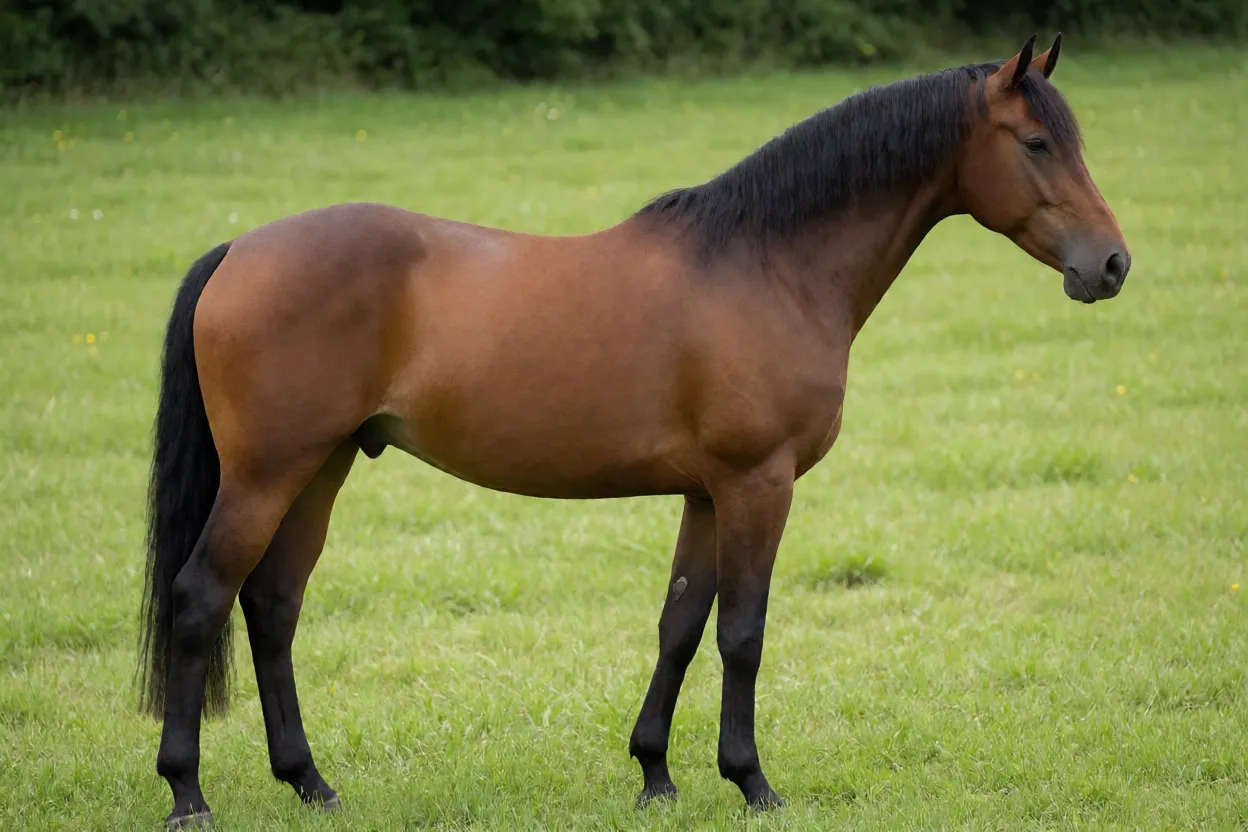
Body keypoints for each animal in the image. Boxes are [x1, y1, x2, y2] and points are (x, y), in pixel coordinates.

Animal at [137, 34, 1129, 826]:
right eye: (1037, 143)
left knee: (272, 607)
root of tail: (239, 251)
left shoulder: (707, 492)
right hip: (267, 475)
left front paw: (655, 774)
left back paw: (310, 783)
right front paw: (752, 782)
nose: (1112, 265)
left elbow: (680, 624)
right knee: (201, 598)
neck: (770, 264)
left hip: (322, 468)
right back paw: (187, 793)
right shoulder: (758, 484)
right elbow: (742, 634)